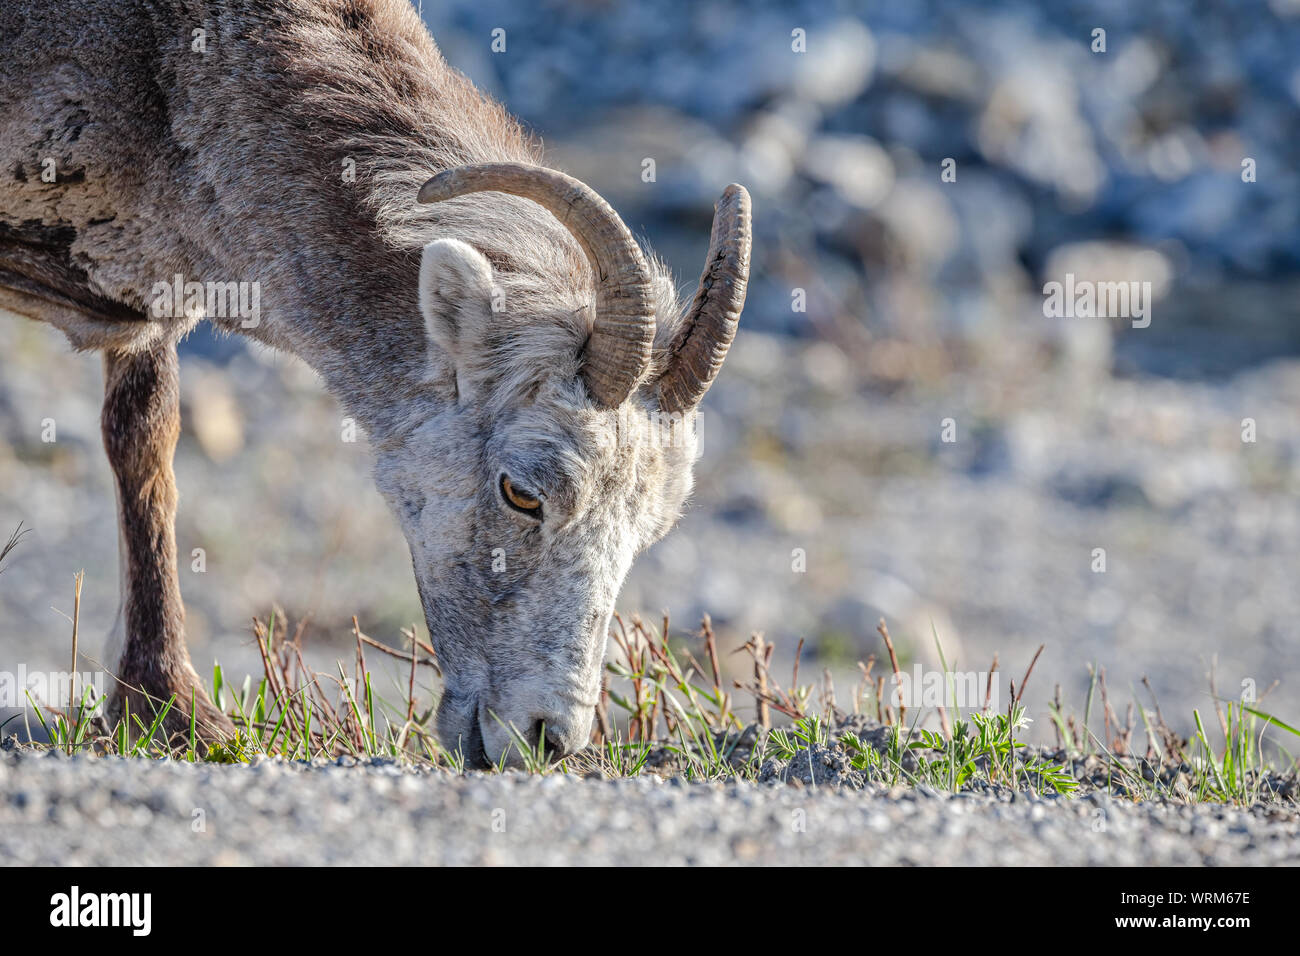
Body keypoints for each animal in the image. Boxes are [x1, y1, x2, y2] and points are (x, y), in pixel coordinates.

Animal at [0, 0, 754, 764]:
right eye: (520, 492)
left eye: (649, 531)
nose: (546, 739)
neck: (158, 53)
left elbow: (145, 446)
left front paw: (166, 711)